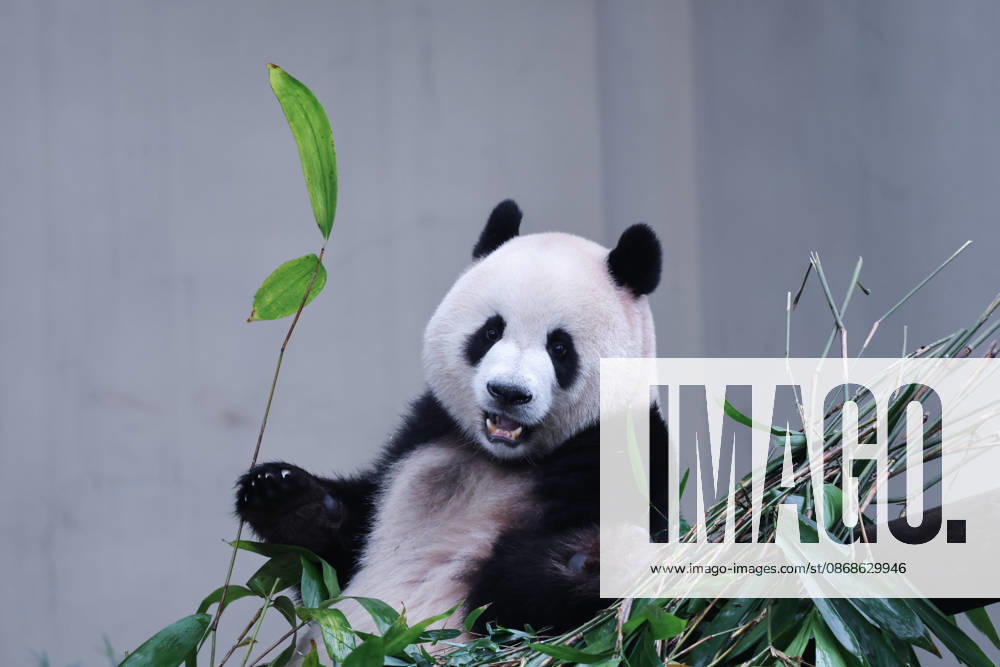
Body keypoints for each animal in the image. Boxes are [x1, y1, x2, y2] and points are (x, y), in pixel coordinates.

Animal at [235, 199, 670, 643]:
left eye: (560, 347)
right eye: (491, 331)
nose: (508, 392)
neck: (503, 458)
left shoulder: (621, 455)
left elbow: (511, 602)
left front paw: (597, 560)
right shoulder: (421, 436)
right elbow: (334, 555)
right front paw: (281, 493)